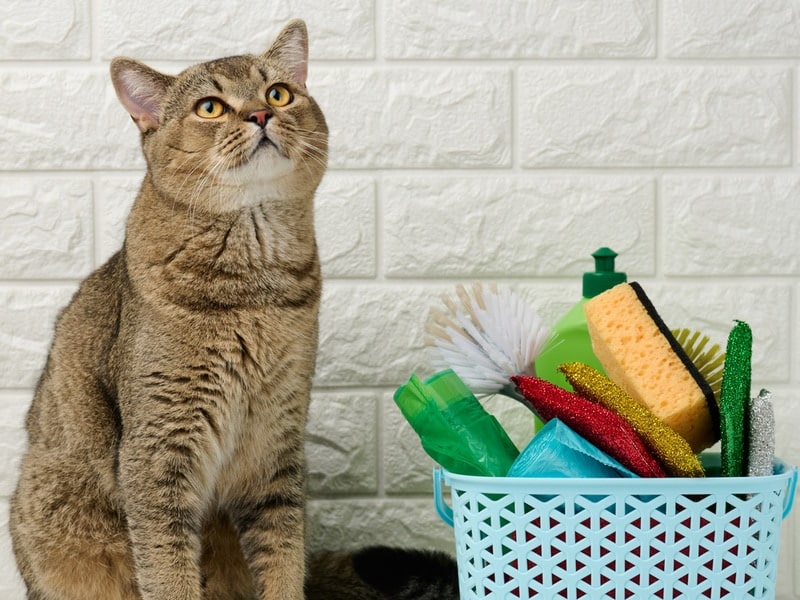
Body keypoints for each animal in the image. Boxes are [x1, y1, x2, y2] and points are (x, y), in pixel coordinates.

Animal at [10, 18, 328, 600]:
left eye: (279, 93)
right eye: (210, 107)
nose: (261, 114)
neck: (256, 288)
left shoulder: (276, 444)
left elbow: (284, 559)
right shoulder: (157, 452)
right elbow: (167, 568)